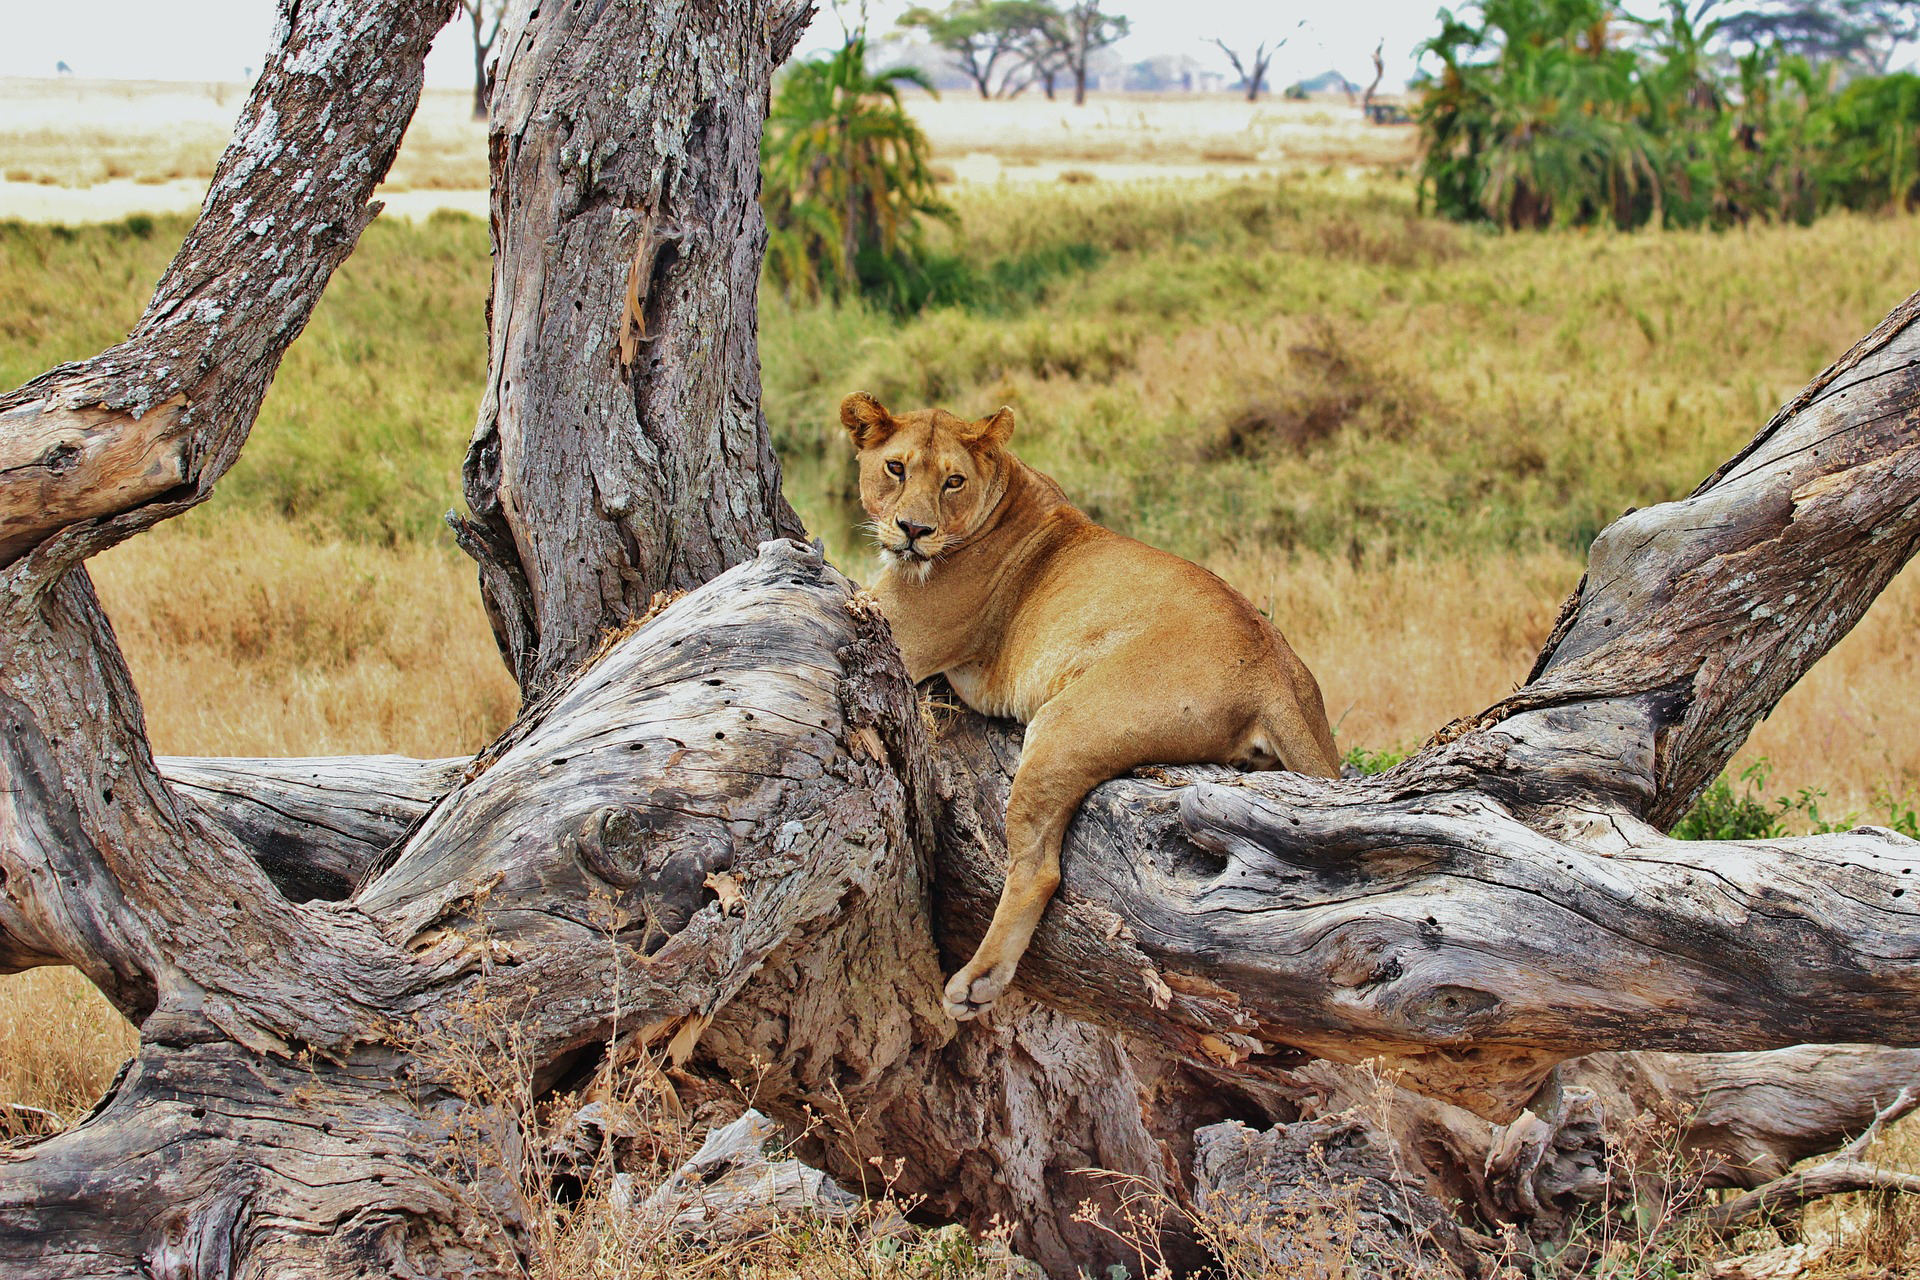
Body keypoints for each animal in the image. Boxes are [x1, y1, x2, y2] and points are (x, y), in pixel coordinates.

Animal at [841, 391, 1341, 1021]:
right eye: (896, 468)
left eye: (953, 481)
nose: (913, 529)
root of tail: (1272, 668)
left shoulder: (897, 632)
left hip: (1064, 724)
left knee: (1038, 869)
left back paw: (978, 982)